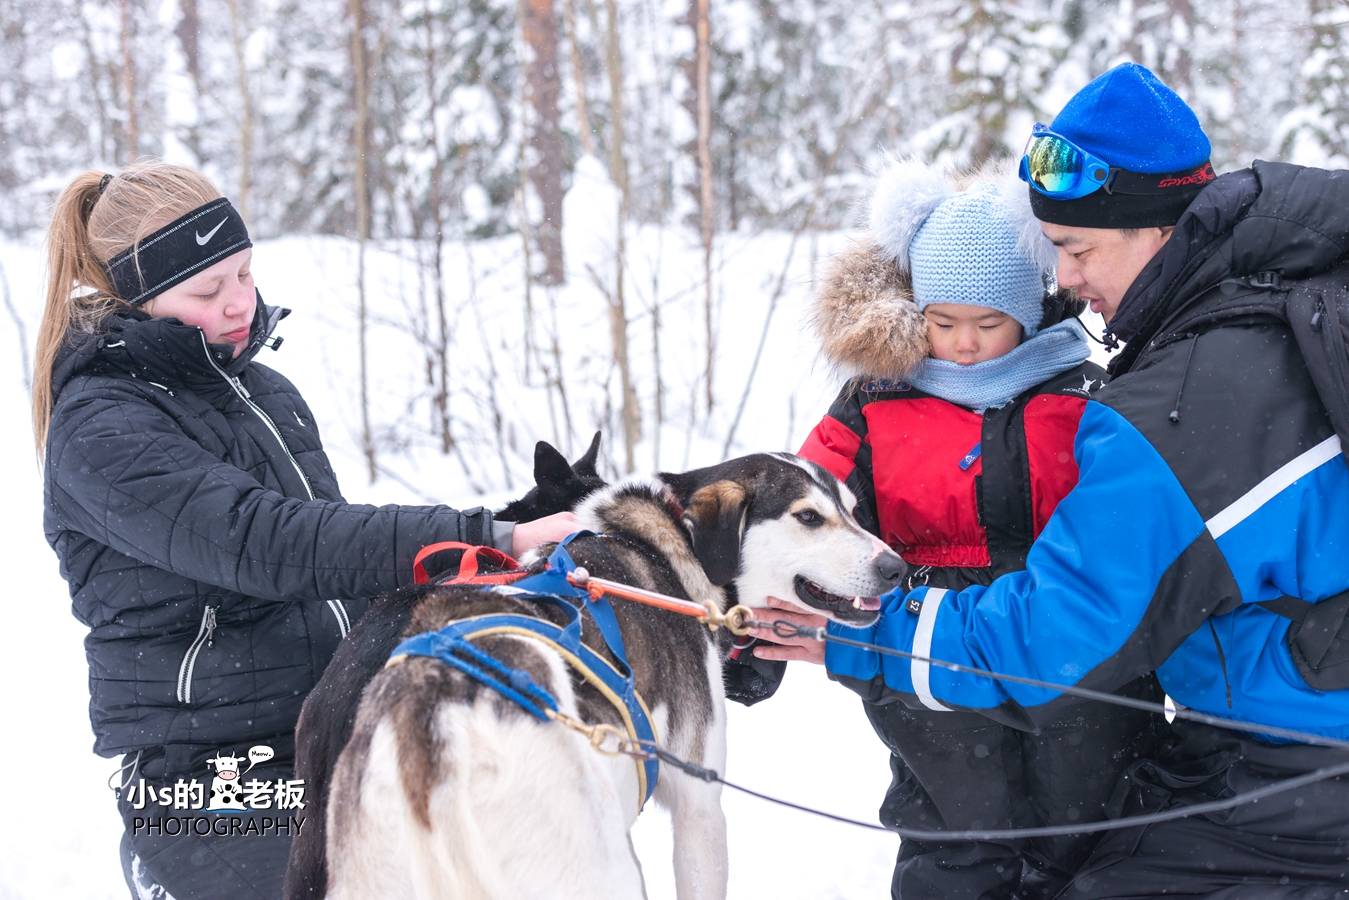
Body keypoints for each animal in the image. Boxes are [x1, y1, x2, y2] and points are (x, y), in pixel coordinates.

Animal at [281, 453, 906, 895]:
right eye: (808, 517)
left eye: (853, 510)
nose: (897, 567)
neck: (668, 546)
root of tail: (429, 717)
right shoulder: (700, 808)